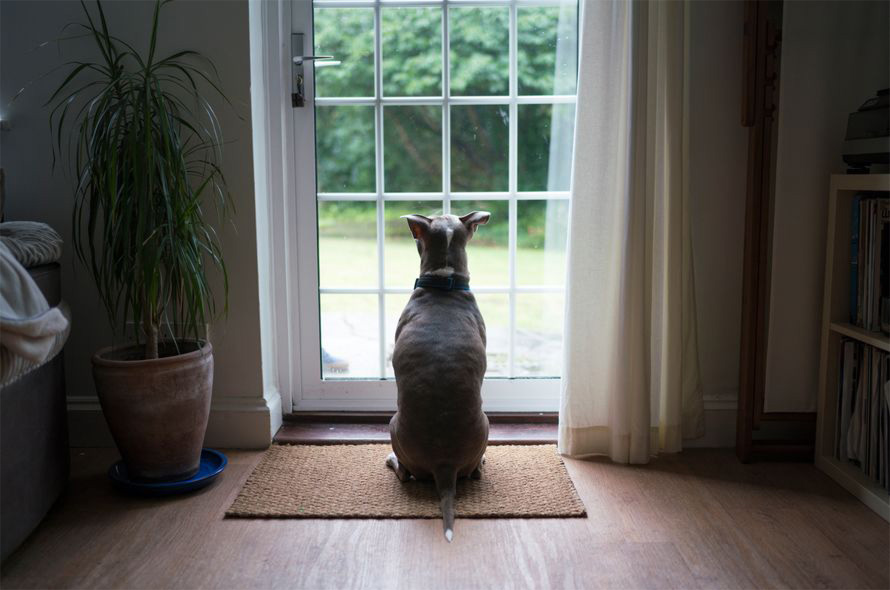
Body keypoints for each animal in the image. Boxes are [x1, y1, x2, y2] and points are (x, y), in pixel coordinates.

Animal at [386, 210, 490, 544]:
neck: (445, 284)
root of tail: (444, 465)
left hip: (392, 425)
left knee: (406, 475)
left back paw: (392, 461)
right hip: (486, 425)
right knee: (474, 472)